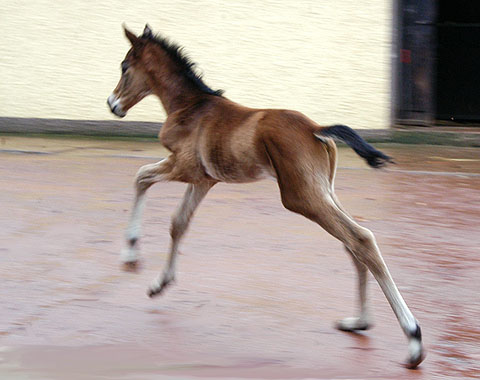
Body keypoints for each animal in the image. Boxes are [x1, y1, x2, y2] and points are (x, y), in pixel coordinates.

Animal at [108, 24, 424, 368]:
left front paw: (130, 253)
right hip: (324, 192)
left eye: (125, 67)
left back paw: (413, 340)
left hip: (302, 197)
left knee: (361, 239)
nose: (112, 104)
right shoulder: (204, 179)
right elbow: (178, 222)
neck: (190, 106)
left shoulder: (183, 166)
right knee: (352, 245)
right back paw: (359, 322)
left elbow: (141, 177)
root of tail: (317, 129)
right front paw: (159, 283)